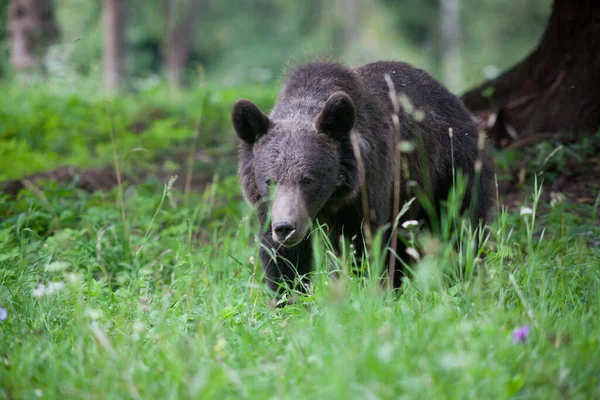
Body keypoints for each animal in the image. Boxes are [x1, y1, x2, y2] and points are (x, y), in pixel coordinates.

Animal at [232, 59, 494, 296]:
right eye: (270, 181)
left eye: (308, 179)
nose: (285, 227)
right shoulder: (269, 209)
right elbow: (284, 260)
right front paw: (287, 297)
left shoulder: (369, 189)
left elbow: (364, 248)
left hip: (451, 173)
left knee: (463, 232)